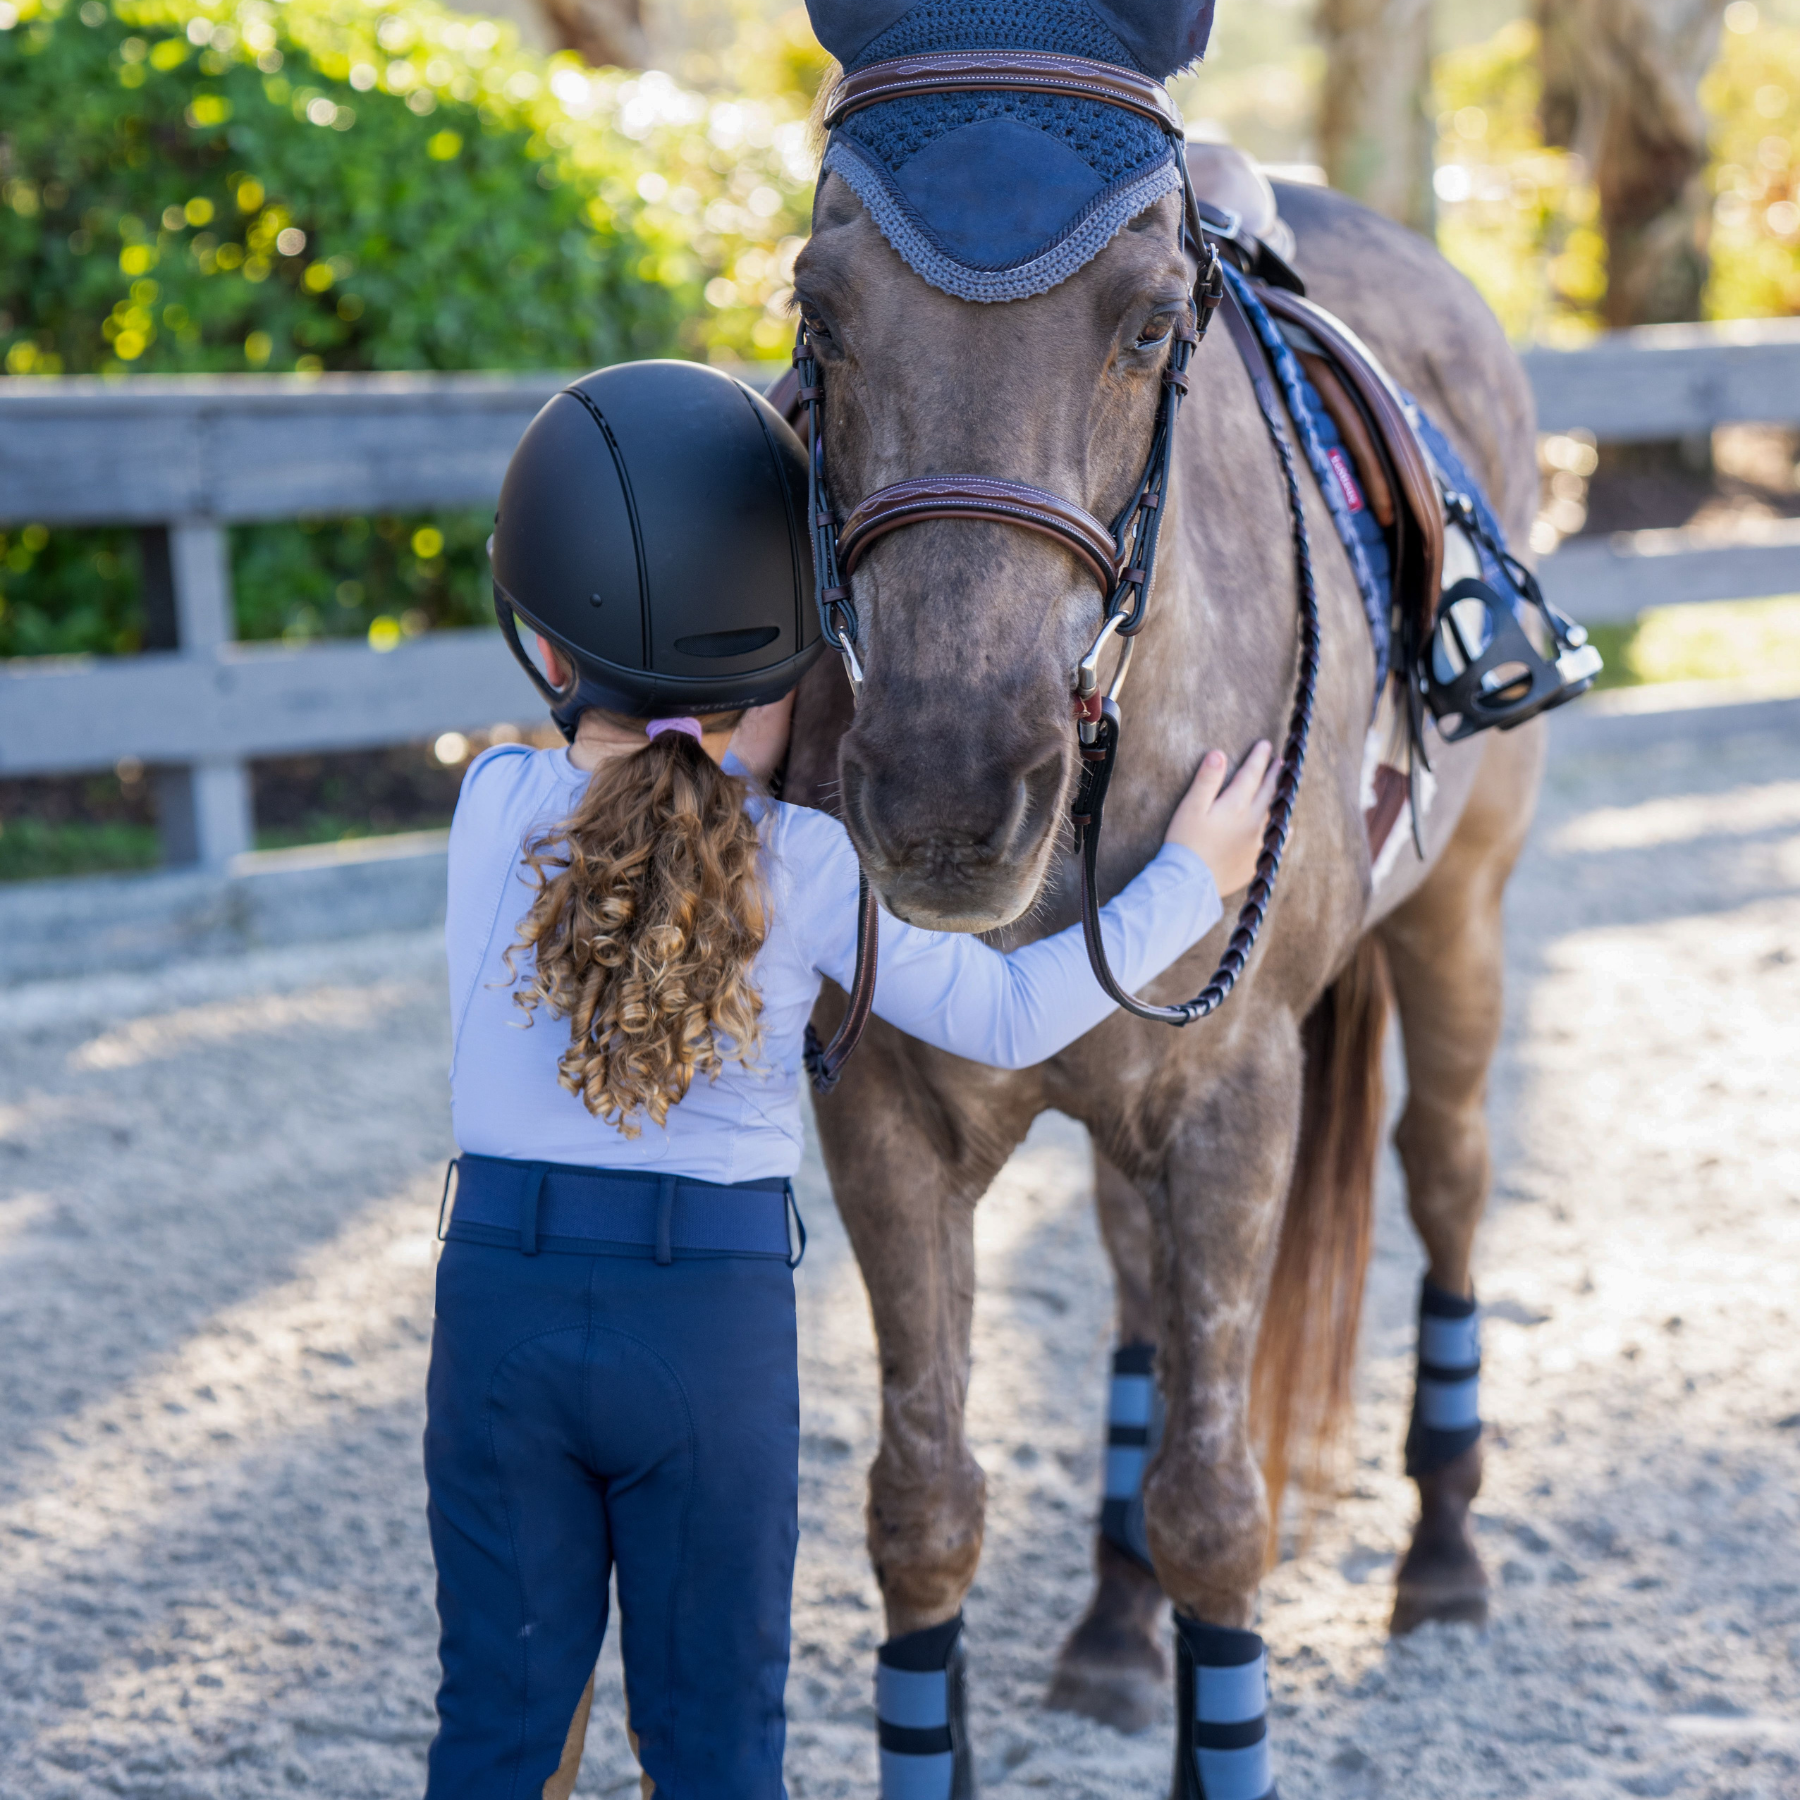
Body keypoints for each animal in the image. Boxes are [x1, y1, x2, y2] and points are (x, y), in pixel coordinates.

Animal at [788, 144, 1548, 1771]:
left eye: (1148, 327)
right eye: (822, 312)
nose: (948, 791)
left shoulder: (1232, 1106)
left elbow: (1214, 1513)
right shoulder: (888, 1119)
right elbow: (922, 1511)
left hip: (1460, 917)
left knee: (1446, 1172)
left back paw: (1445, 1549)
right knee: (1140, 1284)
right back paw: (1114, 1623)